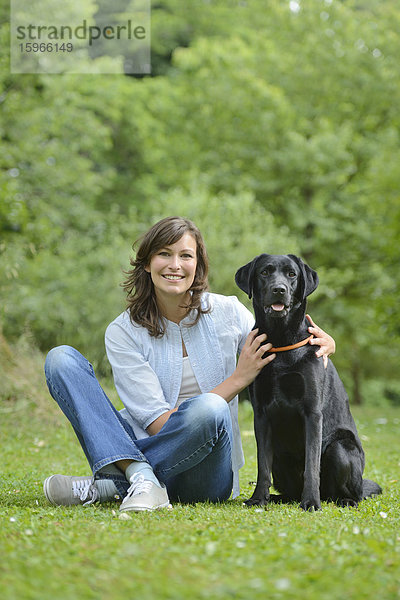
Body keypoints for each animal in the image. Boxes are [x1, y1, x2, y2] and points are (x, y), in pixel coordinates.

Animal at [236, 253, 382, 510]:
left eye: (291, 274)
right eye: (265, 272)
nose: (279, 289)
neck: (281, 341)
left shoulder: (312, 412)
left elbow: (312, 464)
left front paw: (311, 501)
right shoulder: (261, 414)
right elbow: (262, 465)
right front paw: (258, 498)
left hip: (339, 448)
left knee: (351, 494)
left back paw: (341, 500)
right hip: (280, 456)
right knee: (286, 486)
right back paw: (278, 498)